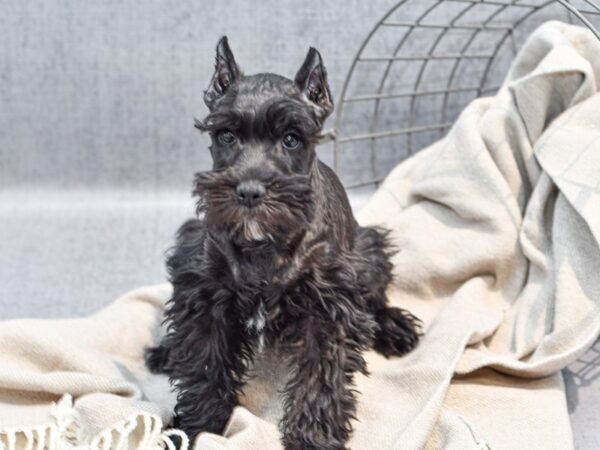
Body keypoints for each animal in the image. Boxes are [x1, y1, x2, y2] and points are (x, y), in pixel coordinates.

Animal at [146, 36, 420, 450]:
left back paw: (395, 328)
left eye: (292, 139)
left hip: (369, 252)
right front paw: (195, 429)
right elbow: (205, 368)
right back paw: (165, 351)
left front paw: (312, 440)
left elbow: (320, 381)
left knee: (375, 299)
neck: (265, 245)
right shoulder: (205, 295)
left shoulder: (329, 309)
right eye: (226, 136)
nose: (249, 192)